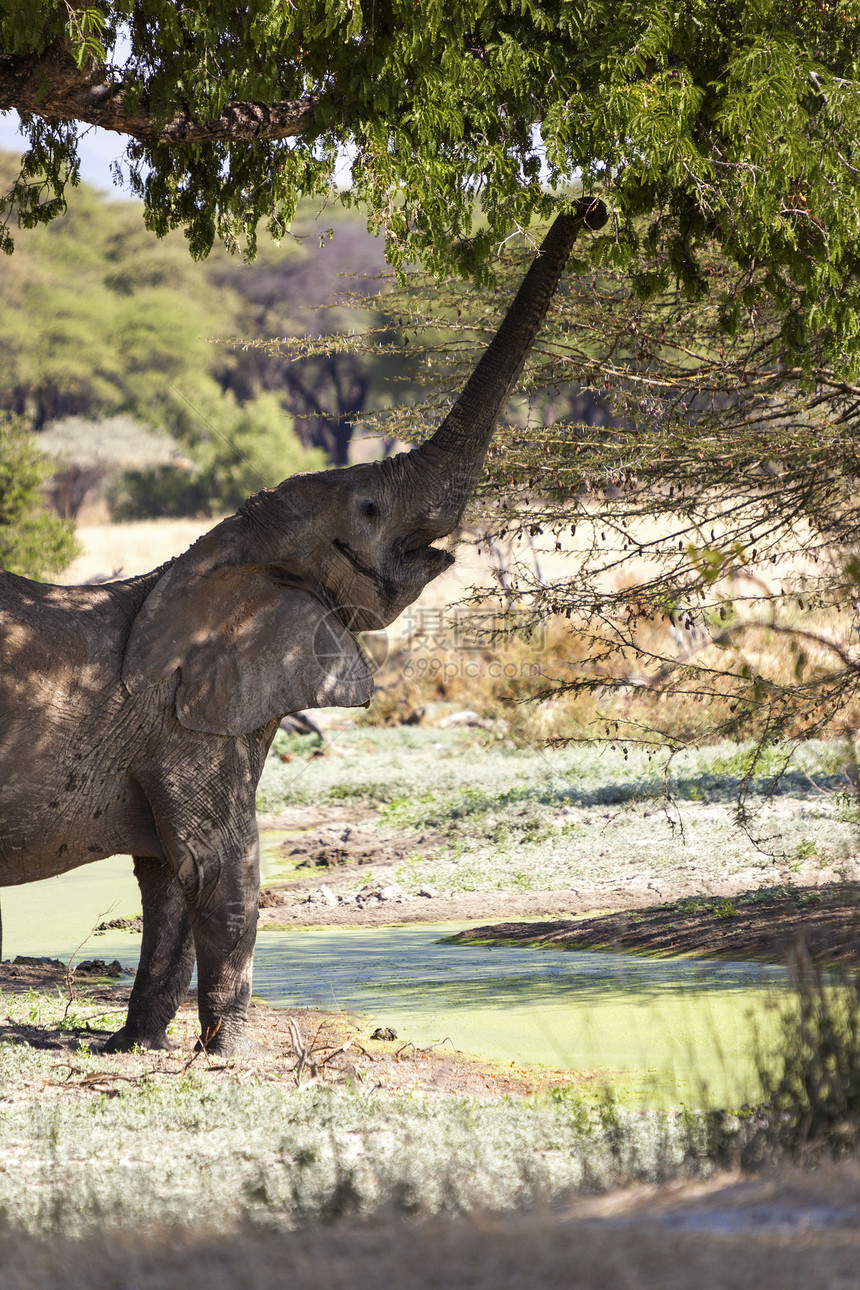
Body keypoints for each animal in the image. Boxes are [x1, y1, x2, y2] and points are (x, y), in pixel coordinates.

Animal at [0, 198, 605, 1047]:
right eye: (370, 509)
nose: (592, 206)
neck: (219, 557)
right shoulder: (181, 724)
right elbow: (218, 867)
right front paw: (223, 1054)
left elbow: (168, 875)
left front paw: (135, 1048)